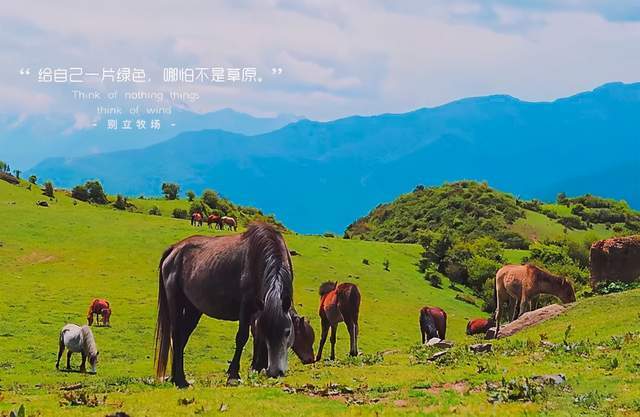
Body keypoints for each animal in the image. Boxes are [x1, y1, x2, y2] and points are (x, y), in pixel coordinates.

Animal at [155, 223, 296, 386]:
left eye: (287, 332)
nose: (275, 372)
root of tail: (174, 249)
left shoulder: (259, 311)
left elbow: (257, 338)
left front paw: (255, 368)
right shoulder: (246, 306)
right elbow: (242, 337)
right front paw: (233, 374)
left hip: (193, 309)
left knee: (183, 337)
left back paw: (178, 378)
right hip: (175, 302)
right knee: (177, 335)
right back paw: (180, 381)